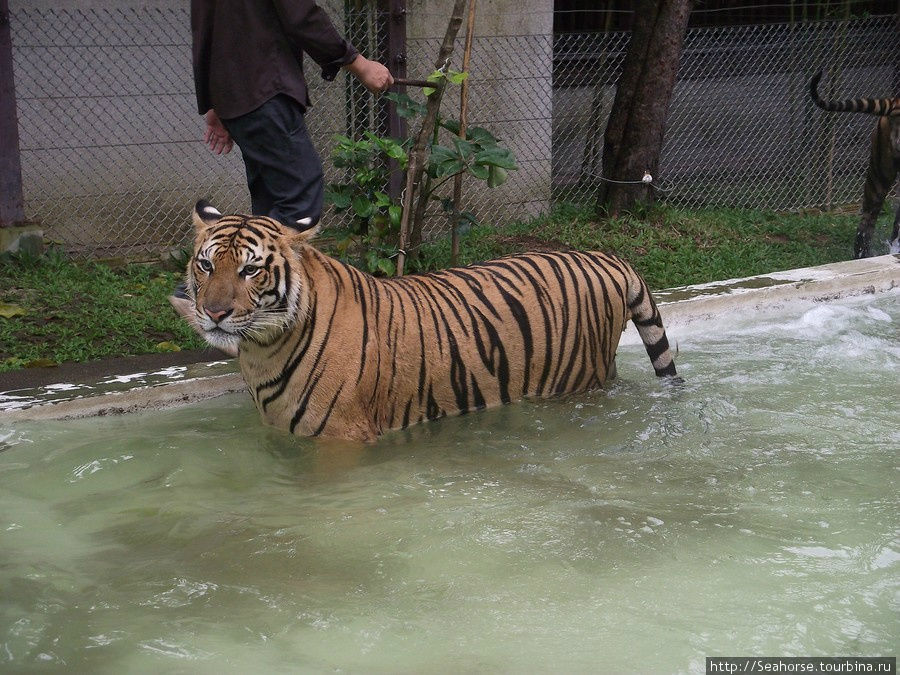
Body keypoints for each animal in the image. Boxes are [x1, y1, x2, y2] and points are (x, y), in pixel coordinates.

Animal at [183, 201, 680, 444]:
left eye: (250, 270)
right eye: (206, 265)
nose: (214, 313)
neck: (262, 350)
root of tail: (607, 256)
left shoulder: (342, 438)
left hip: (579, 379)